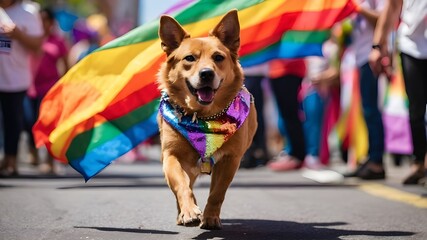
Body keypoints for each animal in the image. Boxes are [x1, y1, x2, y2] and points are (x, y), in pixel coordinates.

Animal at [157, 10, 258, 230]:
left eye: (218, 57)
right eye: (189, 58)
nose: (206, 73)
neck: (203, 118)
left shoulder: (230, 160)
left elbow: (217, 193)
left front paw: (210, 217)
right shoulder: (171, 155)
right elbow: (182, 186)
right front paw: (189, 211)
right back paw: (183, 213)